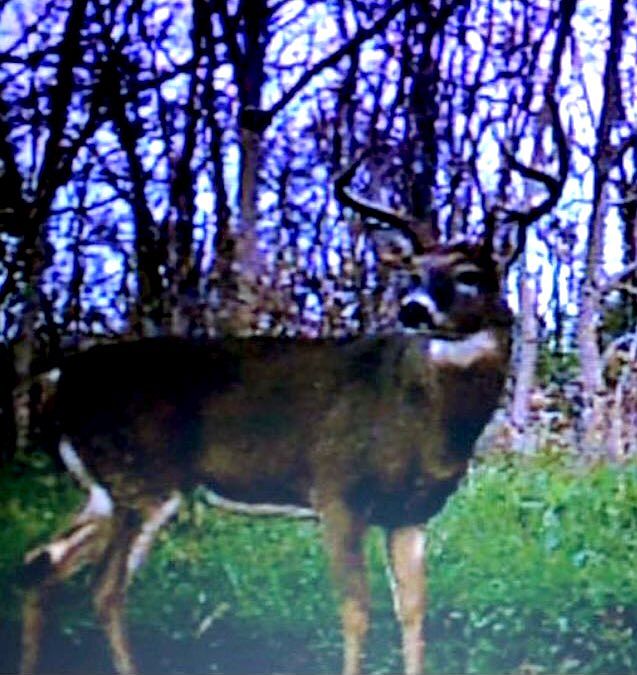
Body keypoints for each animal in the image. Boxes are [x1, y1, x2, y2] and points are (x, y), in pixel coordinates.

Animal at [19, 152, 515, 675]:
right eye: (413, 273)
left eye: (470, 274)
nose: (413, 309)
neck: (425, 419)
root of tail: (55, 378)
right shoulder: (336, 490)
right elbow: (356, 610)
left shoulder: (411, 512)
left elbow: (415, 611)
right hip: (142, 480)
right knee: (104, 590)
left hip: (106, 489)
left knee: (40, 562)